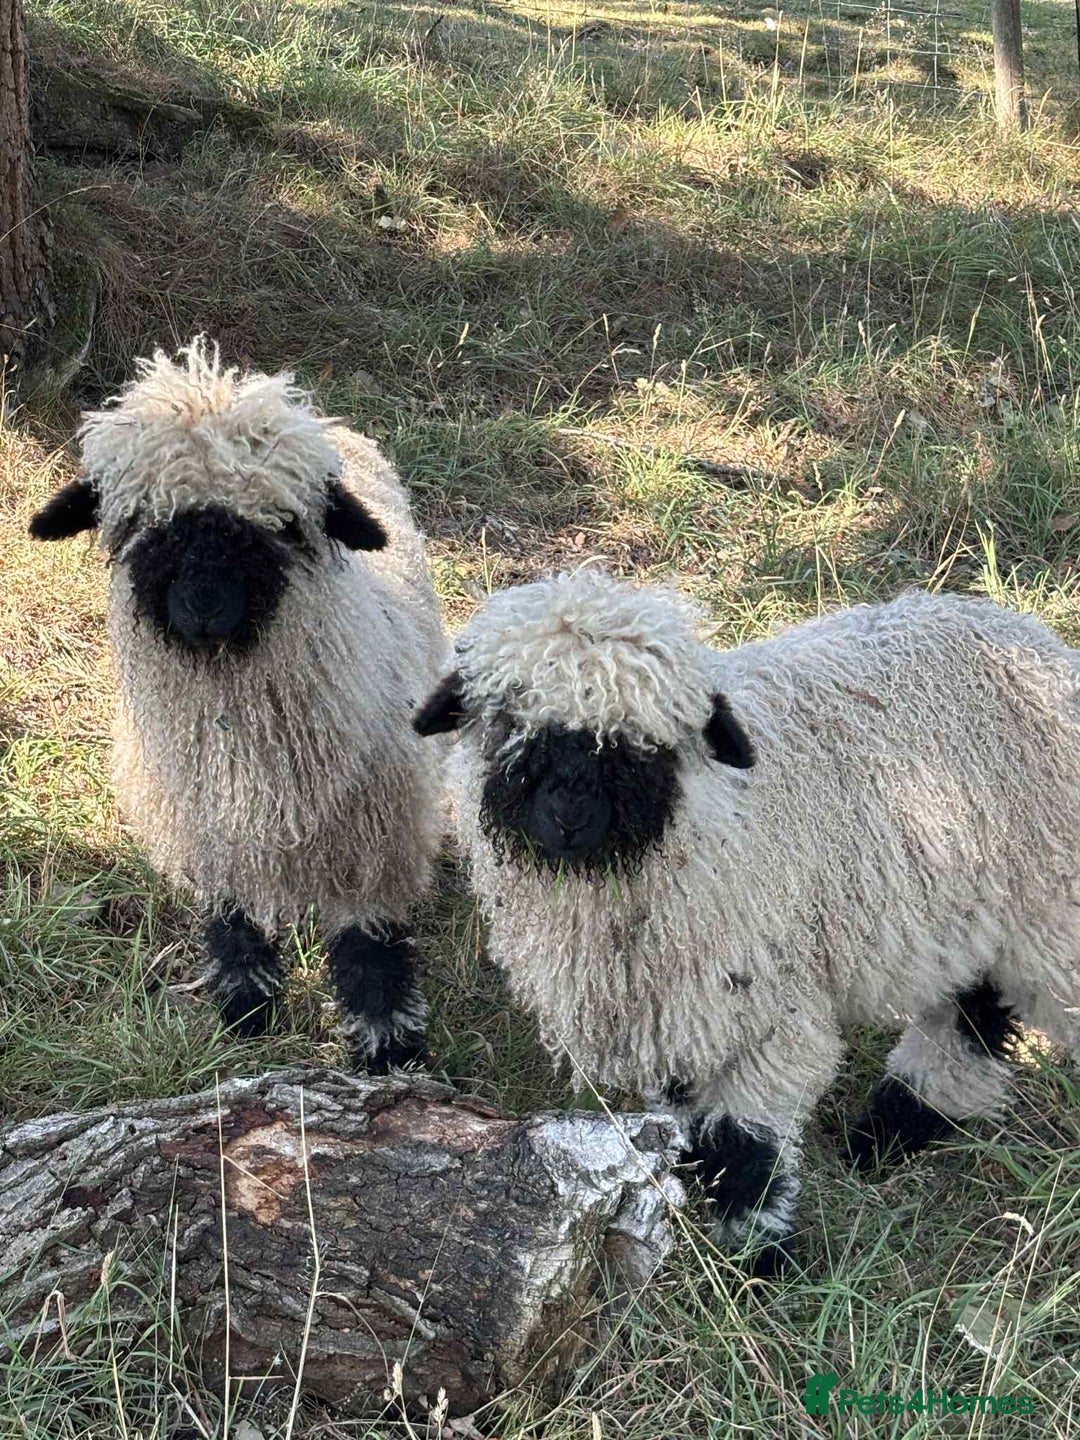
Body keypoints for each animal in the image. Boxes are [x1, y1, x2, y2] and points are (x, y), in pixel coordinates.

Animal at [30, 339, 448, 1071]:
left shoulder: (375, 835)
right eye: (140, 523)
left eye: (278, 526)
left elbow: (371, 949)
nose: (203, 606)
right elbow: (231, 919)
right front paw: (245, 1006)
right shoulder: (205, 827)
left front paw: (390, 1048)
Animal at [414, 567, 1080, 1273]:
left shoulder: (770, 1008)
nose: (569, 817)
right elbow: (687, 1115)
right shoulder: (677, 1012)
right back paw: (895, 1127)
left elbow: (745, 1136)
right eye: (511, 723)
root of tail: (1040, 643)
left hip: (1049, 907)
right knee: (970, 1010)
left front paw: (756, 1254)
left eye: (642, 746)